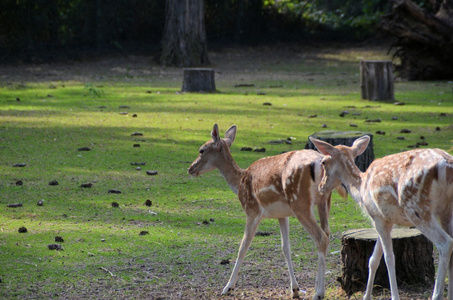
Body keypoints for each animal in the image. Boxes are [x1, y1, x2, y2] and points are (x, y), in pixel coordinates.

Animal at [187, 123, 346, 298]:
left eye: (202, 150)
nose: (190, 168)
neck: (239, 182)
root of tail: (319, 163)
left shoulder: (252, 210)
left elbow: (243, 246)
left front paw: (227, 287)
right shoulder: (282, 214)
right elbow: (285, 247)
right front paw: (295, 289)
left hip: (299, 202)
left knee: (321, 238)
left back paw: (319, 293)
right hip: (324, 200)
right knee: (327, 234)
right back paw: (317, 286)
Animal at [308, 136, 452, 300]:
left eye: (323, 162)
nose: (321, 187)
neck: (360, 191)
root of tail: (446, 165)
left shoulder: (379, 219)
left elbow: (389, 258)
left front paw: (394, 296)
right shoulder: (383, 219)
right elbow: (373, 259)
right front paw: (366, 296)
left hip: (417, 208)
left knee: (445, 243)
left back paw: (436, 295)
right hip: (447, 210)